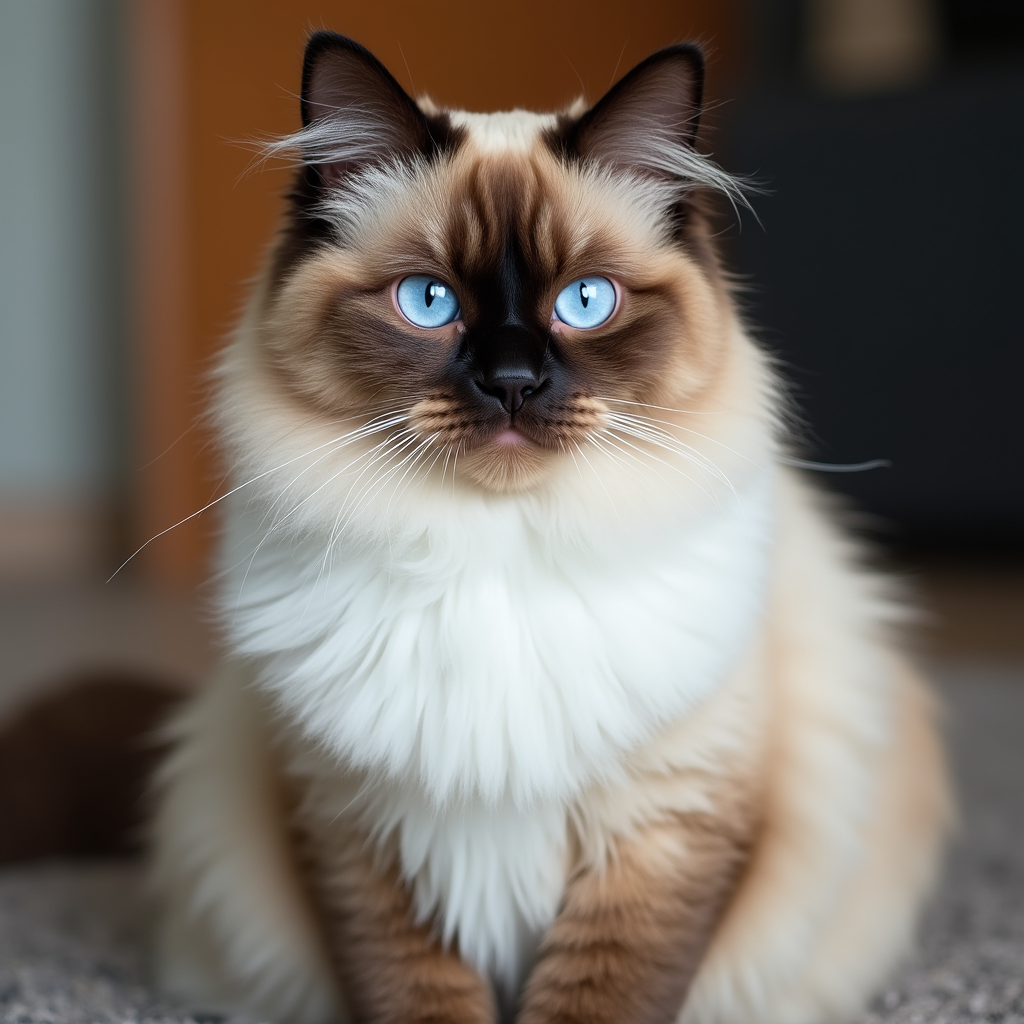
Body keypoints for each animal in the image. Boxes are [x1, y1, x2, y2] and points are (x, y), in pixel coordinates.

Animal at [149, 29, 950, 1024]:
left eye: (585, 301)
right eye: (428, 301)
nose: (513, 382)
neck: (496, 557)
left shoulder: (667, 831)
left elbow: (599, 995)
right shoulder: (356, 830)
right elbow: (416, 995)